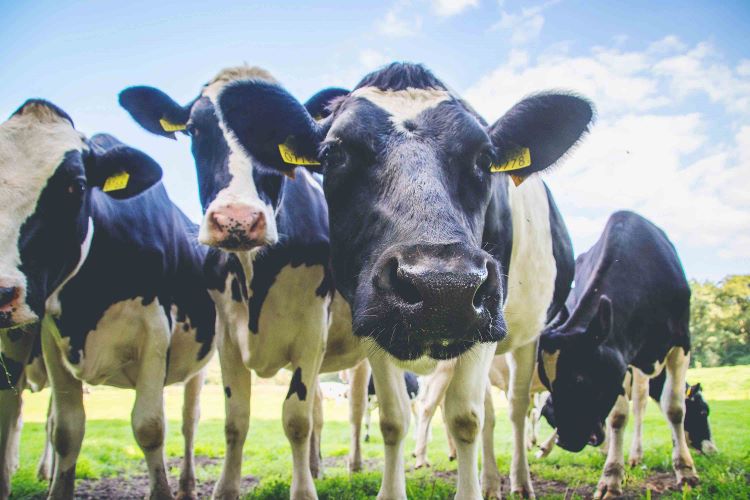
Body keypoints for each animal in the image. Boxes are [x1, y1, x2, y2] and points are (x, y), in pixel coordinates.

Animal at [0, 100, 240, 499]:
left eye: (77, 186)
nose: (4, 291)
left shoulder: (155, 329)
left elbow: (150, 426)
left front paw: (163, 491)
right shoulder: (51, 338)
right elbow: (66, 429)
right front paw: (57, 485)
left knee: (189, 421)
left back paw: (187, 486)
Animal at [119, 66, 368, 499]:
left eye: (277, 135)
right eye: (195, 130)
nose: (236, 219)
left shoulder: (311, 329)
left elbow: (296, 418)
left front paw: (304, 490)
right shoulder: (226, 335)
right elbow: (236, 419)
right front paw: (226, 488)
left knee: (359, 409)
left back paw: (354, 466)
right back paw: (317, 467)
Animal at [212, 62, 592, 498]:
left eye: (485, 157)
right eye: (333, 153)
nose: (444, 286)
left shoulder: (485, 318)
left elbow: (464, 418)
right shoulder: (373, 320)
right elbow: (394, 419)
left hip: (525, 336)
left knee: (514, 408)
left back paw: (519, 480)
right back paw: (492, 480)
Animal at [538, 210, 699, 498]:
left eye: (580, 379)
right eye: (547, 383)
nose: (567, 439)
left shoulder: (682, 343)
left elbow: (674, 408)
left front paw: (686, 471)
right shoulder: (620, 359)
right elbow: (617, 417)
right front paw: (611, 478)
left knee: (642, 404)